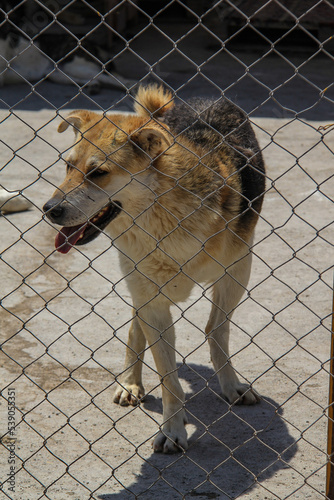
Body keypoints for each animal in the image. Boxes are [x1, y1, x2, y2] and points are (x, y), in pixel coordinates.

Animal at [42, 85, 266, 454]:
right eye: (68, 166)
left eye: (98, 173)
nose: (49, 210)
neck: (163, 220)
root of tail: (202, 97)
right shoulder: (151, 297)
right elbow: (167, 377)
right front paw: (173, 429)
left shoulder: (236, 272)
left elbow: (217, 331)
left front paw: (230, 383)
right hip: (138, 282)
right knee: (136, 328)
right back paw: (130, 383)